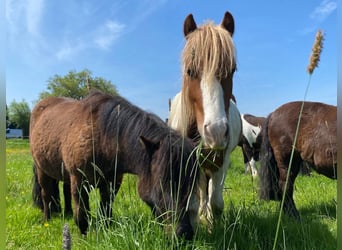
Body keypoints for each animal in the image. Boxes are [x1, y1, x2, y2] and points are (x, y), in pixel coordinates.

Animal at [31, 91, 200, 239]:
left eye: (190, 185)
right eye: (161, 185)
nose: (185, 233)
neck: (102, 138)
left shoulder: (113, 182)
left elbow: (106, 209)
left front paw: (105, 229)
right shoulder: (79, 181)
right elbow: (82, 214)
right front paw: (83, 236)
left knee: (65, 192)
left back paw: (67, 213)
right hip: (42, 170)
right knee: (46, 195)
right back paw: (47, 219)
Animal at [168, 12, 240, 227]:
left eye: (232, 70)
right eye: (190, 71)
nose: (216, 132)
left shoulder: (221, 160)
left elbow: (216, 202)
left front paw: (212, 224)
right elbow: (196, 199)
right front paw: (200, 220)